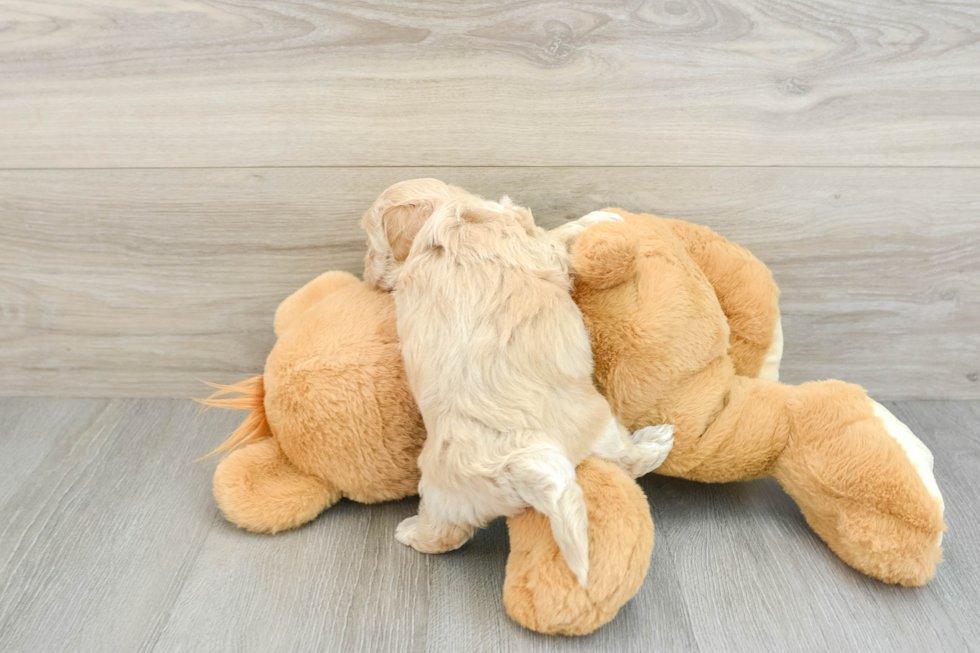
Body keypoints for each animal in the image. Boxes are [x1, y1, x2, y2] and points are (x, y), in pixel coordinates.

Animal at [362, 180, 672, 584]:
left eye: (371, 243)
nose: (366, 276)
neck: (447, 213)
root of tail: (518, 464)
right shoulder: (537, 245)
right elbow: (559, 237)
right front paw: (599, 218)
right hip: (597, 426)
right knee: (626, 459)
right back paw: (656, 443)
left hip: (445, 493)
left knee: (444, 533)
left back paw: (411, 533)